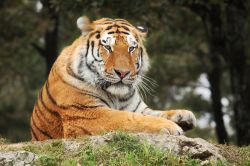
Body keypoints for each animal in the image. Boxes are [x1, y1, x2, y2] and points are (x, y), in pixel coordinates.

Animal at [30, 16, 196, 141]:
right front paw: (170, 126)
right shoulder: (88, 113)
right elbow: (130, 118)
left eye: (131, 48)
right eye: (108, 47)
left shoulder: (138, 108)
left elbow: (154, 112)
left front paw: (184, 116)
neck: (117, 95)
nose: (122, 73)